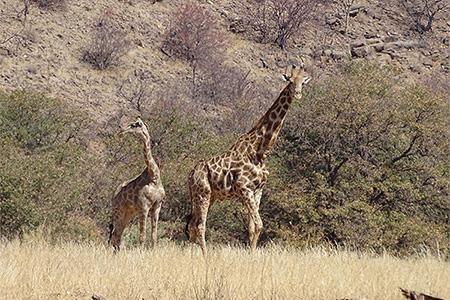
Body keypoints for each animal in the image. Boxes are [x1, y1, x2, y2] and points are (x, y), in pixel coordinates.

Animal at [108, 117, 165, 251]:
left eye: (135, 125)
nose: (122, 130)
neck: (154, 176)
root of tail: (114, 196)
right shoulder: (144, 207)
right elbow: (142, 236)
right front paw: (141, 252)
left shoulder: (157, 206)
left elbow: (154, 236)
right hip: (118, 211)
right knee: (115, 236)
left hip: (128, 214)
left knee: (118, 236)